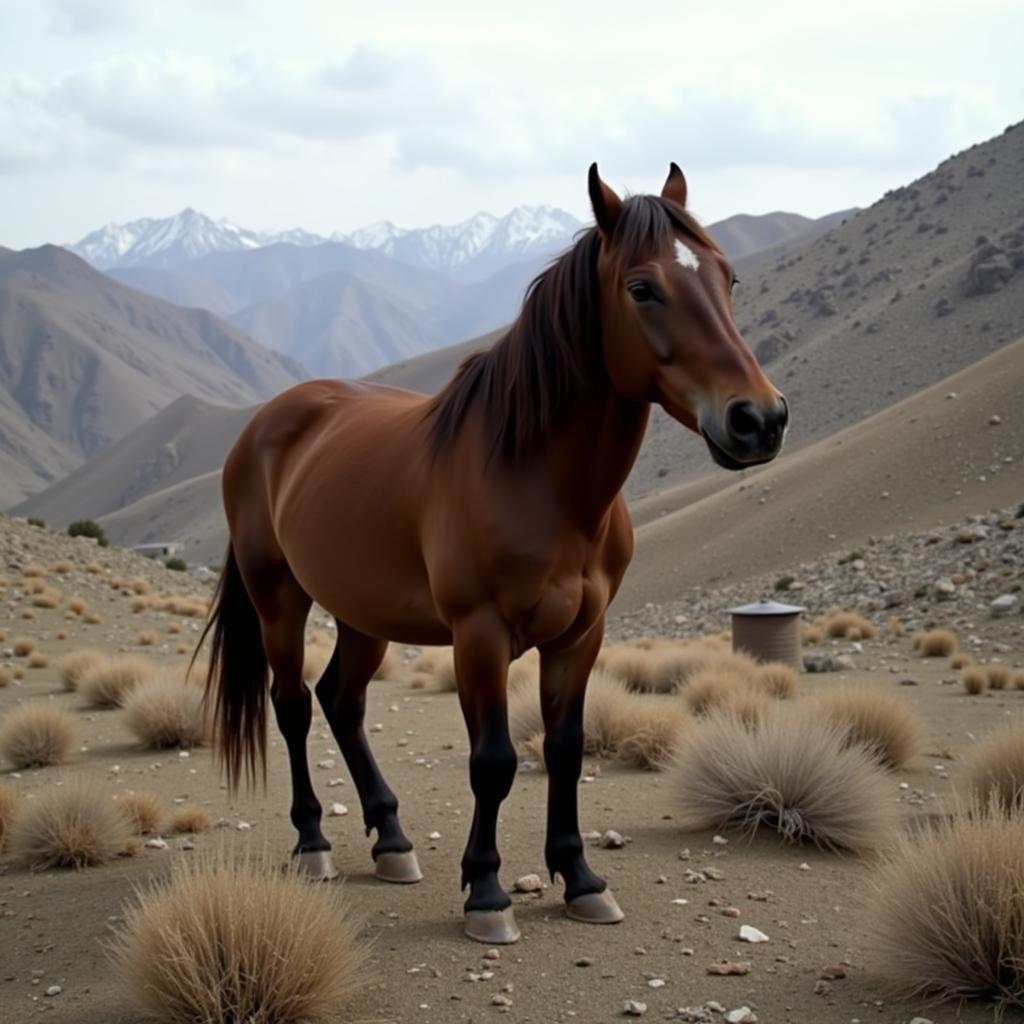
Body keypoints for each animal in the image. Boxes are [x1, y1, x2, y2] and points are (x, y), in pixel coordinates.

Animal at [201, 165, 790, 942]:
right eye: (642, 288)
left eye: (728, 278)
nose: (760, 419)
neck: (537, 478)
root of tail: (264, 425)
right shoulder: (478, 635)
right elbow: (494, 761)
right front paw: (486, 891)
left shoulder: (581, 636)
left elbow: (565, 750)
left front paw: (581, 879)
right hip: (280, 599)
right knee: (294, 705)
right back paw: (314, 842)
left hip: (363, 613)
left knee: (342, 702)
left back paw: (392, 841)